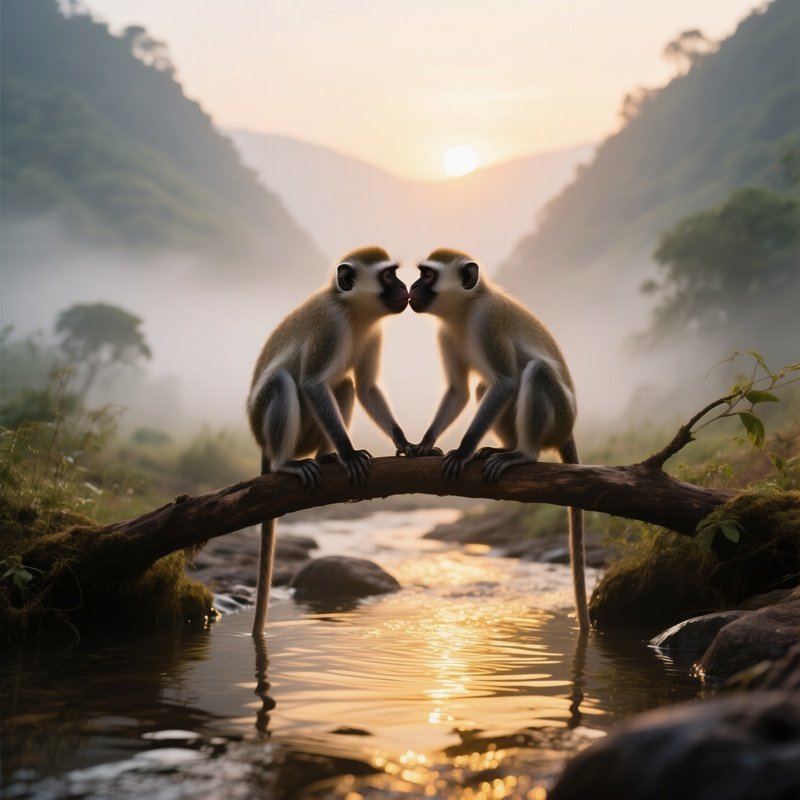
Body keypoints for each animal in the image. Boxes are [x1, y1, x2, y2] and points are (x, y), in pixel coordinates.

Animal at [246, 246, 413, 634]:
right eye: (388, 275)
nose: (404, 287)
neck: (354, 313)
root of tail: (263, 444)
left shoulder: (373, 333)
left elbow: (365, 388)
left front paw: (407, 444)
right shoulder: (330, 326)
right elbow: (311, 383)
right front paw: (349, 454)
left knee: (344, 385)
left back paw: (326, 458)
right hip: (269, 426)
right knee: (284, 381)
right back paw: (288, 464)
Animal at [407, 248, 589, 631]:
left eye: (428, 276)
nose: (412, 287)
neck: (463, 311)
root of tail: (569, 428)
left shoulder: (486, 321)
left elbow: (504, 382)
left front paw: (463, 451)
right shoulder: (446, 333)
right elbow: (460, 391)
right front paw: (424, 443)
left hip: (559, 416)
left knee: (534, 373)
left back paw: (523, 454)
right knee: (481, 387)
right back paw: (504, 447)